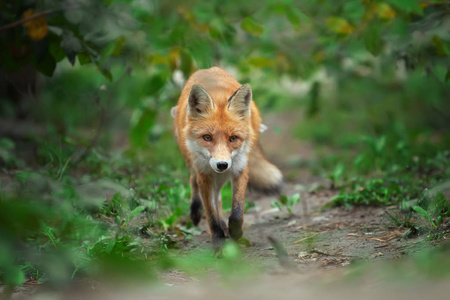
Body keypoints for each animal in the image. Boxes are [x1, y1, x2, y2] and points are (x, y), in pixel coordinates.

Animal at [172, 67, 282, 250]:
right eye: (207, 137)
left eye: (233, 138)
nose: (222, 164)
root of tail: (208, 69)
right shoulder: (204, 174)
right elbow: (211, 214)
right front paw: (218, 241)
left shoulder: (240, 169)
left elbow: (236, 212)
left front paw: (235, 233)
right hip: (194, 163)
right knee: (194, 182)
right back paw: (196, 212)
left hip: (222, 174)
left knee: (218, 198)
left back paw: (224, 225)